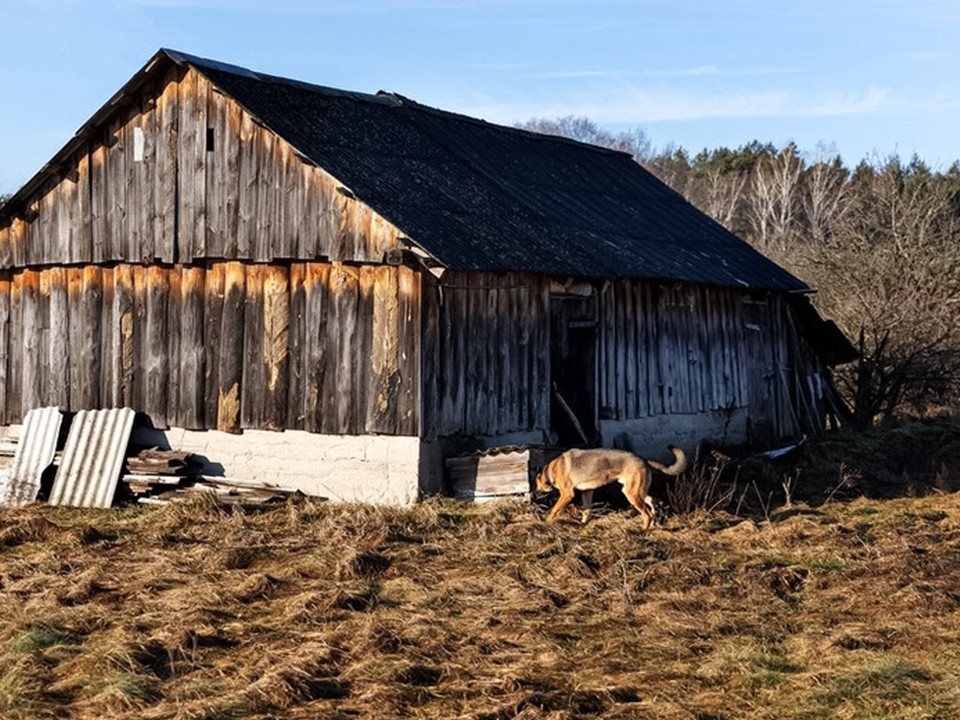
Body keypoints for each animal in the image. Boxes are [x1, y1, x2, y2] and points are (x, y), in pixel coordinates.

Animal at [536, 444, 688, 524]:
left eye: (536, 484)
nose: (535, 492)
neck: (551, 470)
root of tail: (643, 459)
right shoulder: (587, 492)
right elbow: (586, 510)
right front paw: (583, 524)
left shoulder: (567, 494)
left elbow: (555, 509)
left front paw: (546, 520)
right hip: (635, 491)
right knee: (653, 501)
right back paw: (652, 524)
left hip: (631, 494)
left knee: (647, 513)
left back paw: (642, 531)